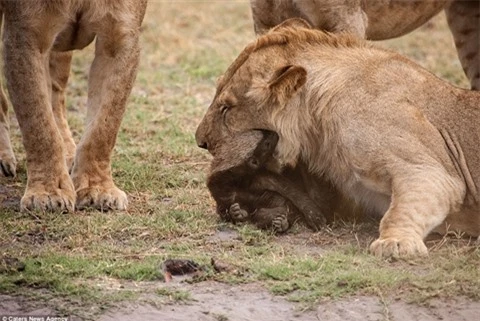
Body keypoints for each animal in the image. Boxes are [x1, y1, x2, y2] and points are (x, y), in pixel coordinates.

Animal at [0, 0, 147, 212]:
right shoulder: (25, 36)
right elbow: (39, 124)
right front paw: (47, 193)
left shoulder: (119, 38)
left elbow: (103, 129)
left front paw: (97, 189)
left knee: (56, 96)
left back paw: (69, 155)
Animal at [195, 18, 480, 258]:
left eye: (226, 108)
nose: (201, 142)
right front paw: (244, 207)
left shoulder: (432, 170)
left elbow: (406, 205)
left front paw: (395, 243)